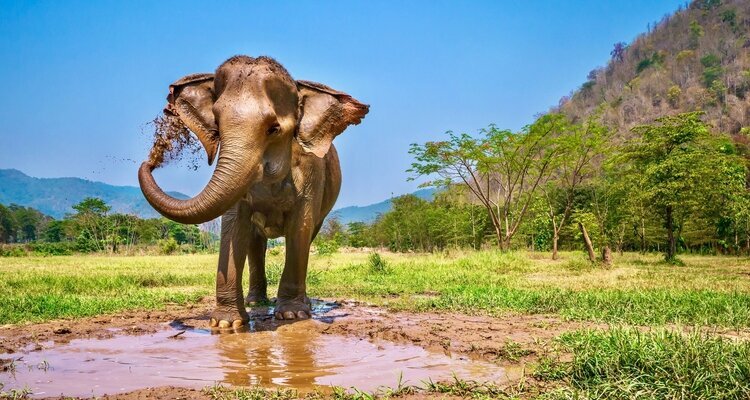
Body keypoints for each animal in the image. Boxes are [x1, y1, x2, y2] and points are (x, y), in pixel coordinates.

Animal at [138, 55, 368, 328]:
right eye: (217, 124)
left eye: (274, 129)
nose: (152, 160)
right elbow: (234, 224)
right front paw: (225, 324)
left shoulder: (312, 171)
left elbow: (300, 227)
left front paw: (292, 315)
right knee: (255, 243)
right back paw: (255, 302)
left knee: (307, 234)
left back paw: (303, 303)